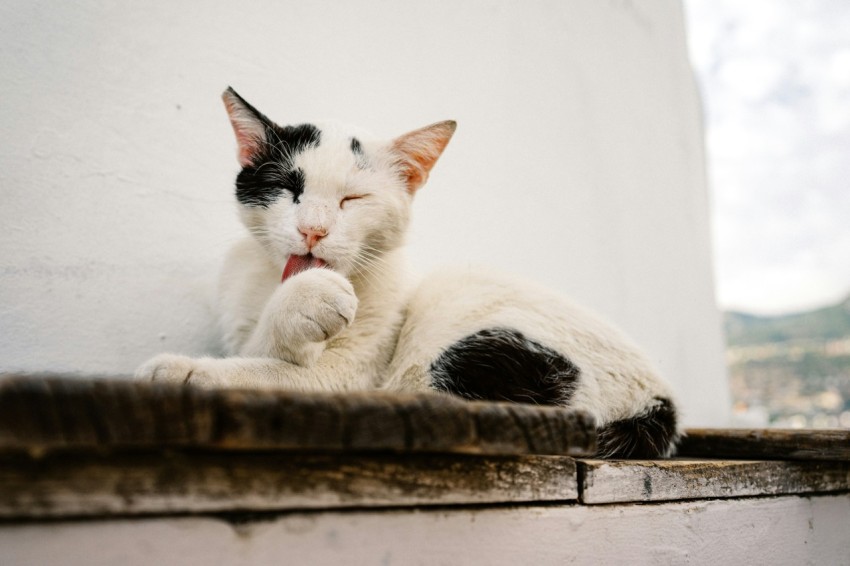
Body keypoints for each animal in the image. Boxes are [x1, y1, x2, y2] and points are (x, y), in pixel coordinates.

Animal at [136, 89, 680, 462]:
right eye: (289, 187)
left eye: (352, 199)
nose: (313, 229)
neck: (271, 279)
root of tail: (660, 402)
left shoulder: (348, 376)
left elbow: (267, 366)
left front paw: (178, 370)